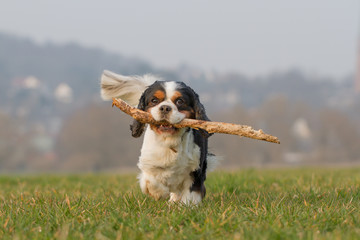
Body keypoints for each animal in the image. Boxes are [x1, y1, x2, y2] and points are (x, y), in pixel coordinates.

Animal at [101, 70, 218, 204]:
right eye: (154, 100)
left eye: (180, 101)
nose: (165, 107)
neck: (169, 141)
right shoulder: (148, 164)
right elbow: (149, 181)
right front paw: (160, 193)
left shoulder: (196, 170)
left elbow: (191, 194)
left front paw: (186, 206)